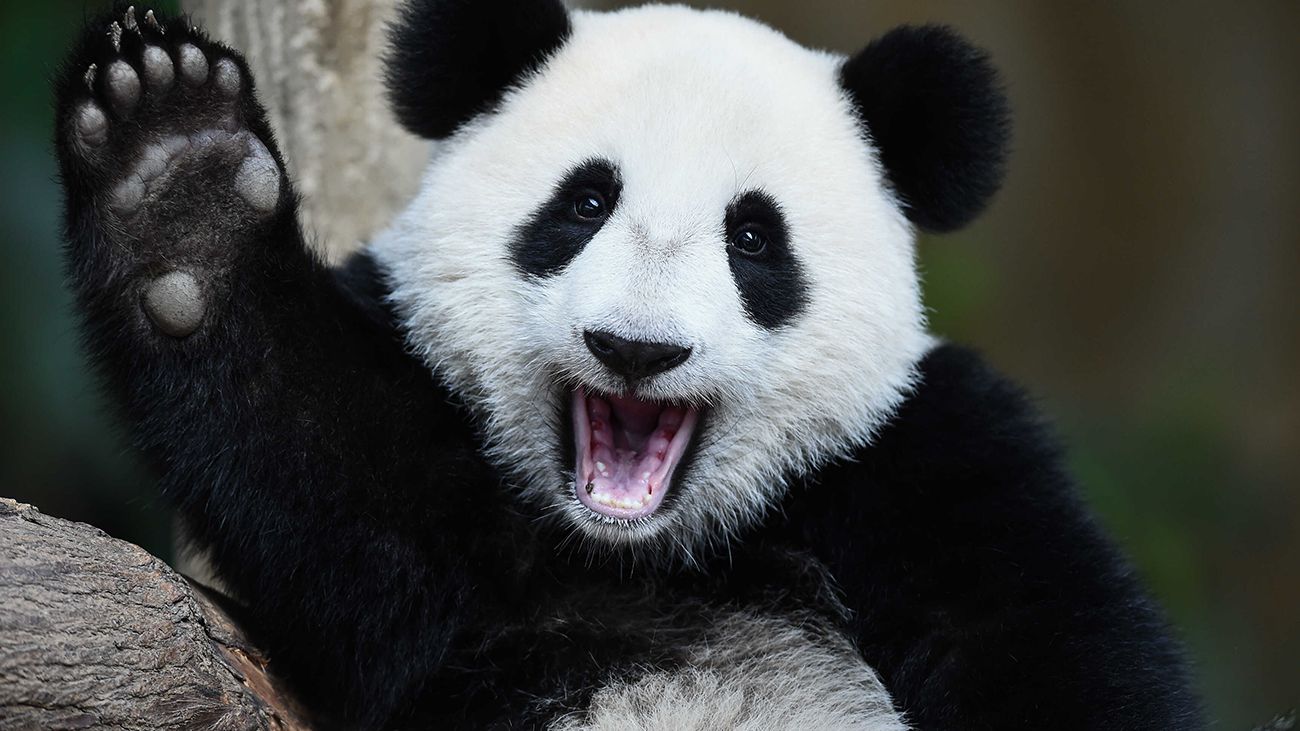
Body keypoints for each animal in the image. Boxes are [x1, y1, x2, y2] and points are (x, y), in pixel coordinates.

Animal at [54, 1, 1204, 729]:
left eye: (754, 238)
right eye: (585, 202)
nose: (637, 349)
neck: (645, 552)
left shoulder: (926, 459)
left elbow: (1050, 648)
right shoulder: (457, 568)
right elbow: (332, 476)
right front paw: (180, 175)